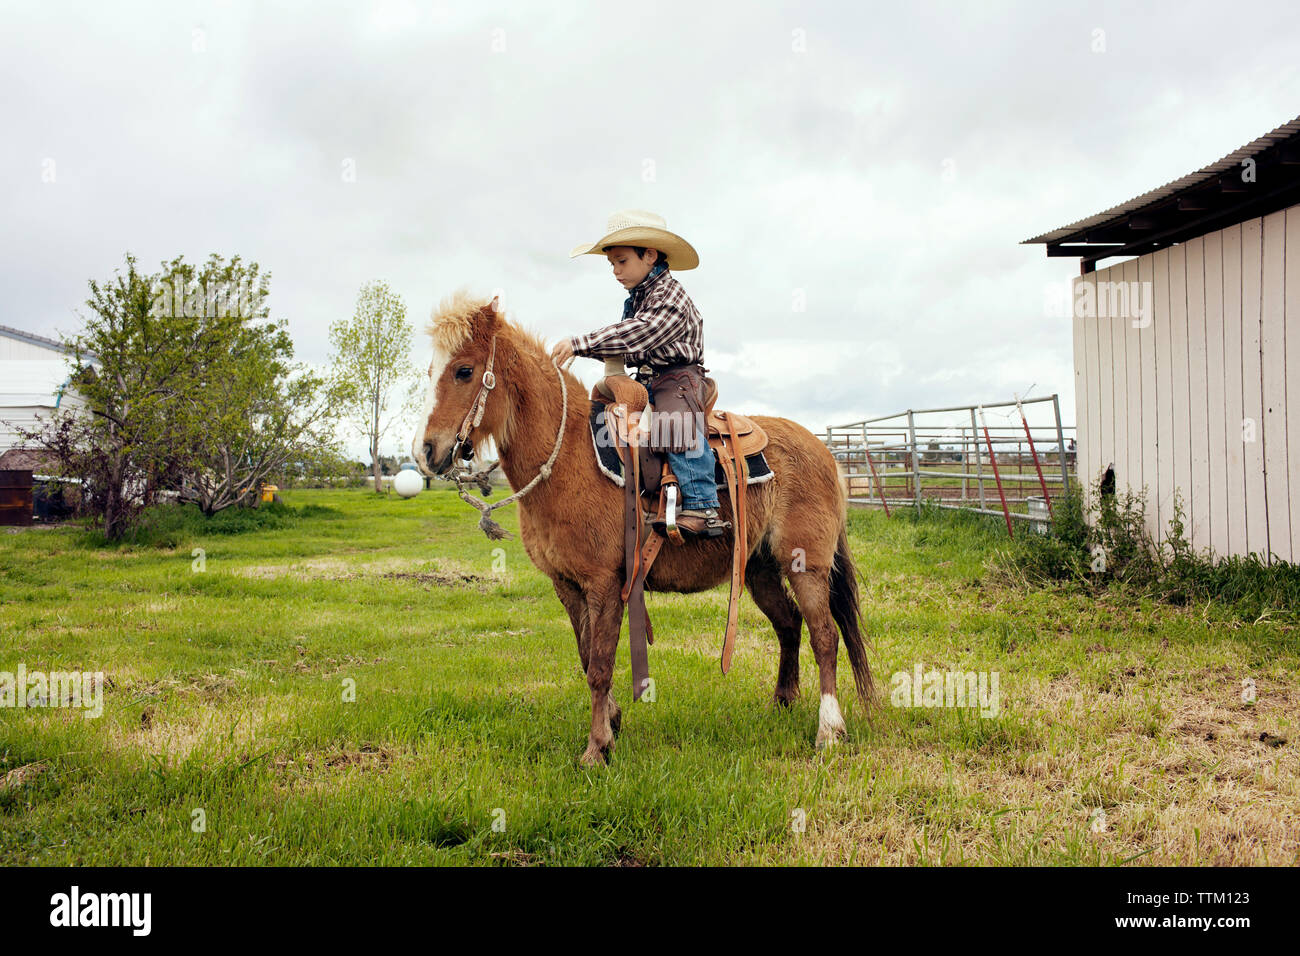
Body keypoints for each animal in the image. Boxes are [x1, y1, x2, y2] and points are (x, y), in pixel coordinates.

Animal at [412, 290, 875, 765]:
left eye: (464, 370)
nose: (425, 451)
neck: (569, 456)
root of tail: (826, 453)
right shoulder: (566, 584)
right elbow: (586, 656)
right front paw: (612, 723)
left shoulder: (605, 582)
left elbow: (599, 666)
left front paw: (596, 748)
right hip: (759, 568)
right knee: (789, 625)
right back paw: (783, 702)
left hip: (807, 565)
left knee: (824, 635)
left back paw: (829, 730)